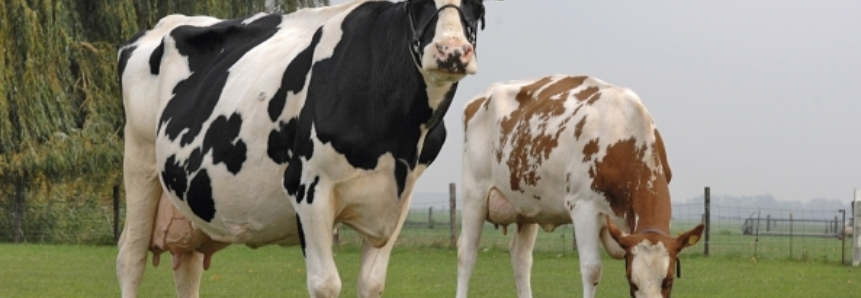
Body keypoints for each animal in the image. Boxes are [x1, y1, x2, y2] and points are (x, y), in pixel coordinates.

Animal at [116, 1, 488, 296]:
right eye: (417, 4)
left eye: (477, 5)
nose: (452, 52)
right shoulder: (309, 186)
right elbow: (325, 284)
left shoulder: (398, 198)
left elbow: (371, 283)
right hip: (139, 162)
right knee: (130, 259)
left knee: (187, 266)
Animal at [456, 75, 704, 298]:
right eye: (632, 281)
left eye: (668, 280)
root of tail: (485, 94)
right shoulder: (584, 207)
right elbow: (592, 269)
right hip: (474, 196)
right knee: (467, 253)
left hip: (526, 205)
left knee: (521, 257)